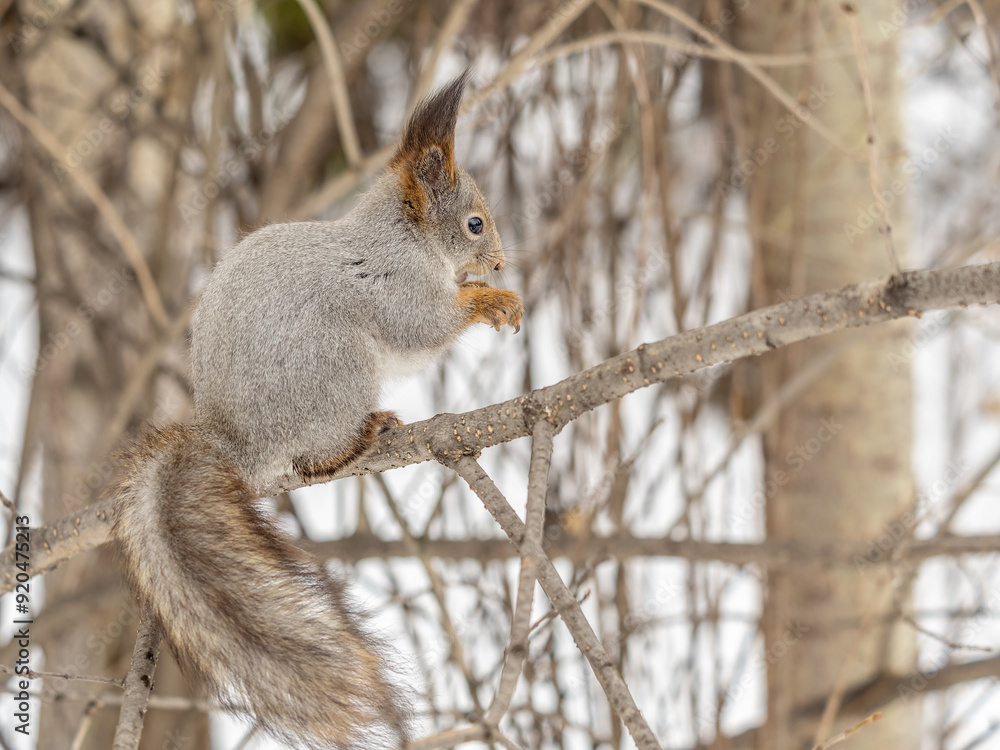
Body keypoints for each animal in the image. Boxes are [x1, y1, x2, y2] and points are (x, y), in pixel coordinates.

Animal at [110, 71, 523, 749]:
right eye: (474, 223)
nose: (499, 263)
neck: (403, 238)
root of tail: (238, 443)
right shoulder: (396, 288)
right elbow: (424, 330)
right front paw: (490, 299)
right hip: (340, 369)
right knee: (315, 462)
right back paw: (365, 435)